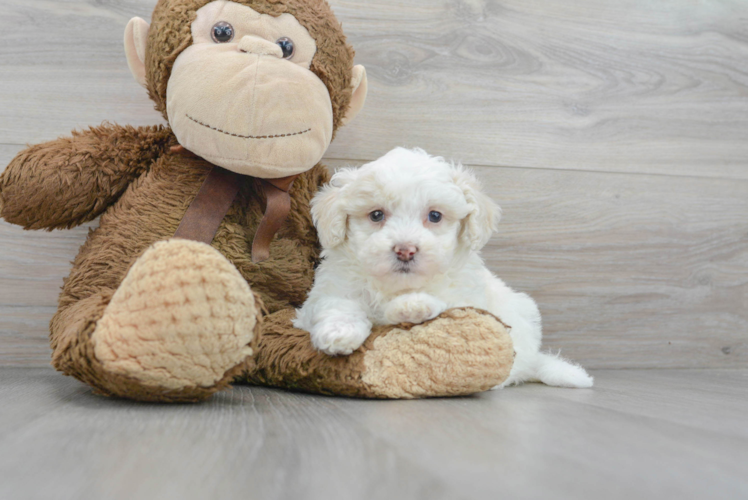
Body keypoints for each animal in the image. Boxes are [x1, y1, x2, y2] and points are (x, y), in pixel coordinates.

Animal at [296, 146, 592, 388]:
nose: (405, 250)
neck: (397, 285)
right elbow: (338, 304)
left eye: (435, 216)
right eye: (376, 215)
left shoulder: (464, 296)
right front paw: (339, 333)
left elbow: (439, 302)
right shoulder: (332, 287)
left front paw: (411, 305)